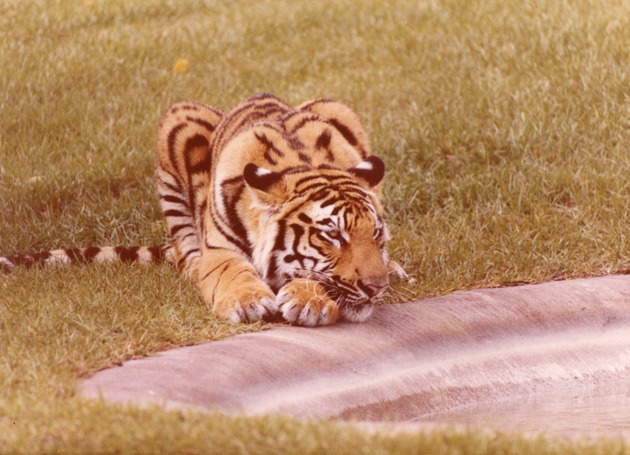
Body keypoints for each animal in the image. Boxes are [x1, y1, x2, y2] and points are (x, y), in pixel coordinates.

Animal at [0, 94, 408, 326]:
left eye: (375, 233)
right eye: (332, 235)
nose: (377, 288)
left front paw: (309, 299)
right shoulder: (220, 251)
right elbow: (231, 272)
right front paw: (247, 301)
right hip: (178, 122)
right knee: (185, 254)